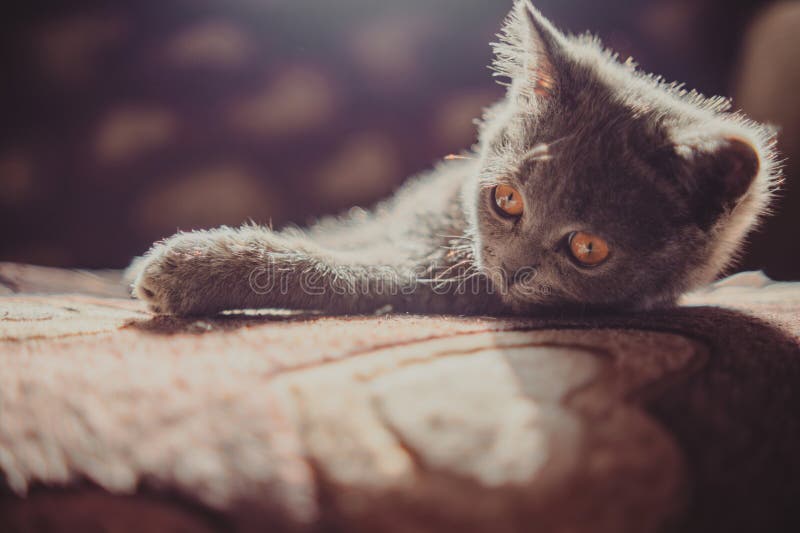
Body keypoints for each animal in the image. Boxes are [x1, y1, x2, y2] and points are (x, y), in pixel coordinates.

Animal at [128, 0, 780, 316]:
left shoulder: (422, 281)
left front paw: (188, 267)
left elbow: (329, 270)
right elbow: (337, 233)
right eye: (506, 199)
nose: (511, 270)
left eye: (588, 249)